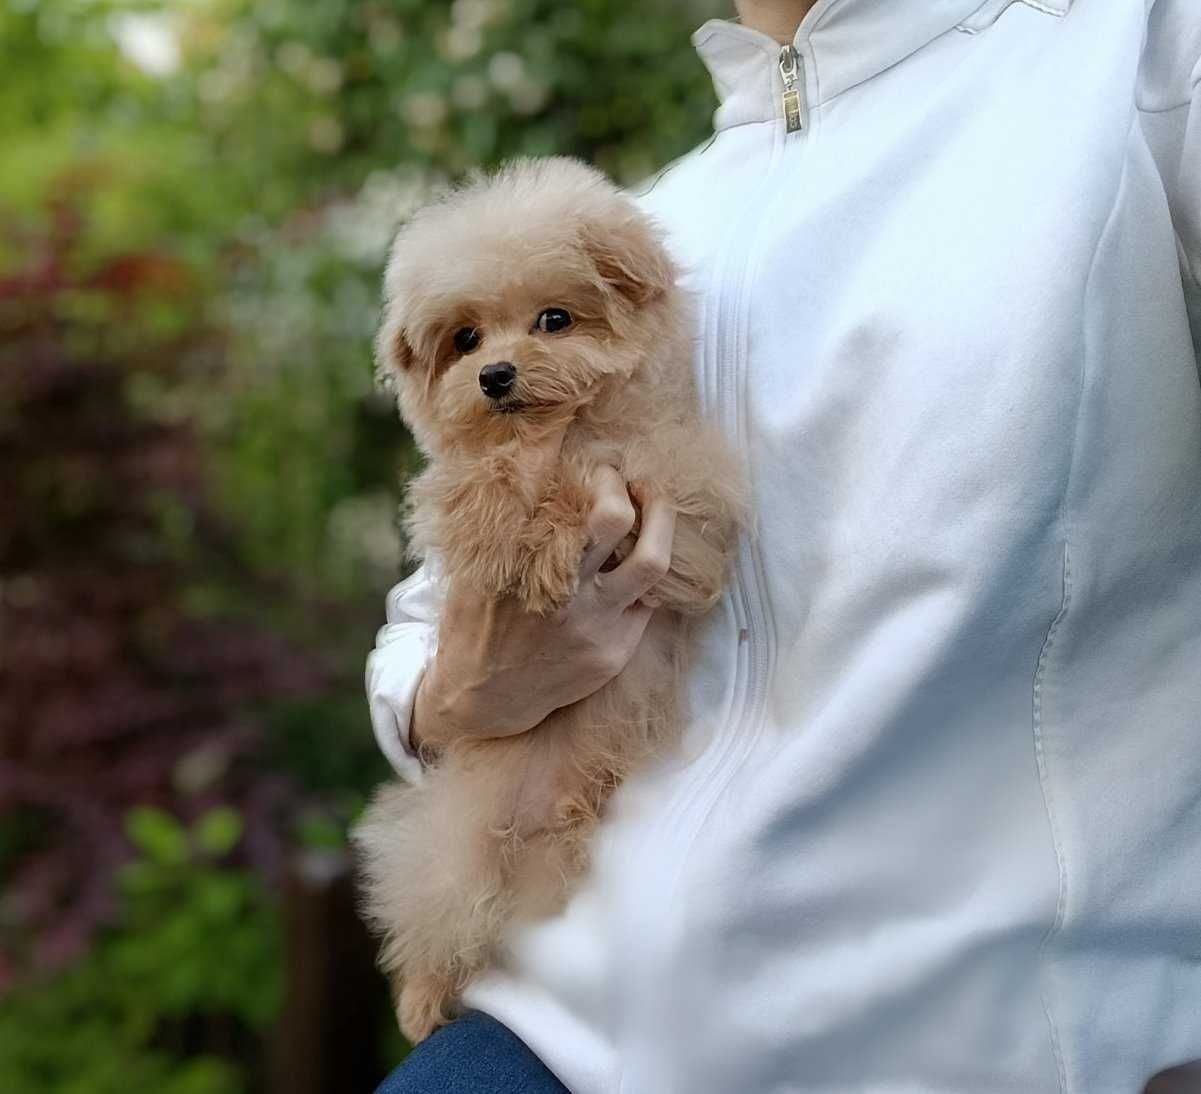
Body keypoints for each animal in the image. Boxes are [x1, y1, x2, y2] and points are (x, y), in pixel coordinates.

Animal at [353, 156, 749, 1042]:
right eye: (464, 339)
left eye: (554, 319)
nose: (495, 375)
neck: (559, 429)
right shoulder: (457, 492)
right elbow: (481, 484)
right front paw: (519, 534)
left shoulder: (689, 519)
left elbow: (610, 480)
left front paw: (551, 536)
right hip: (446, 850)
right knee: (436, 920)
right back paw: (421, 999)